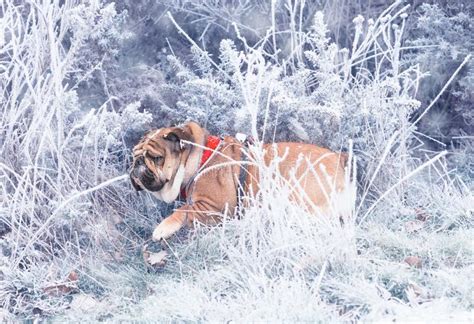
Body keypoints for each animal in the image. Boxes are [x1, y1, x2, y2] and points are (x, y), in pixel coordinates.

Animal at [131, 121, 348, 243]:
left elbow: (183, 209)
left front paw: (163, 228)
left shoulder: (216, 208)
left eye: (156, 157)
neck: (201, 159)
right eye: (135, 156)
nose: (136, 164)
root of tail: (340, 160)